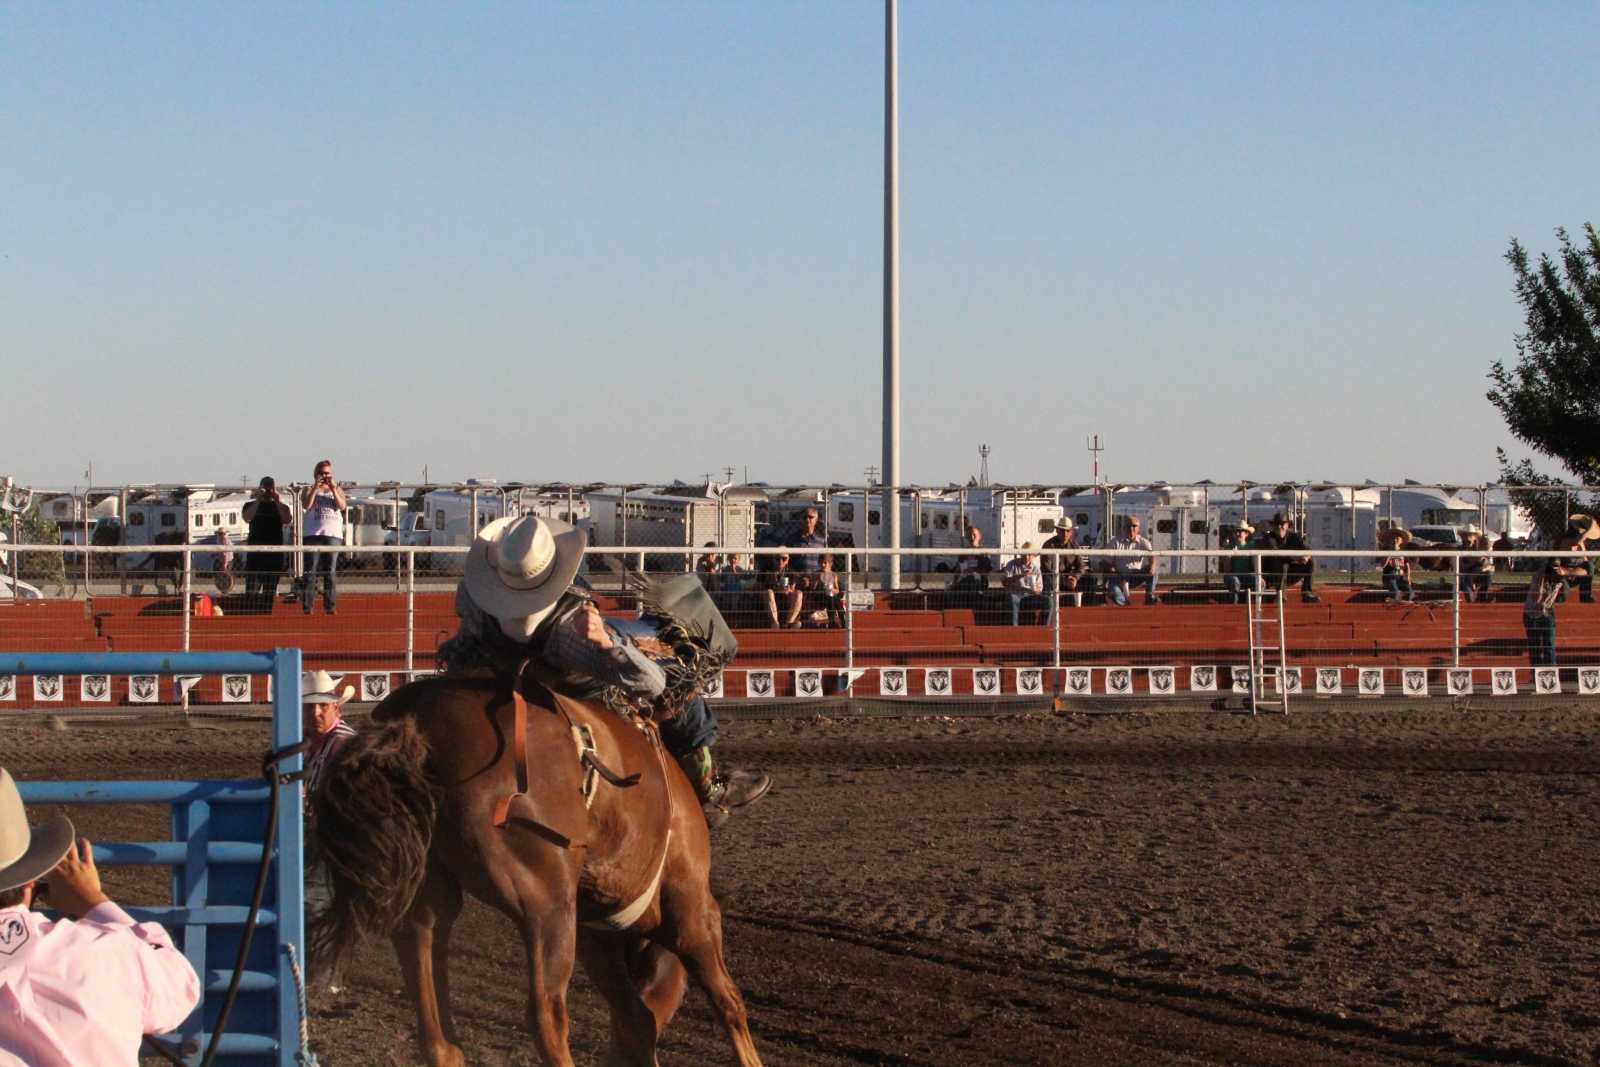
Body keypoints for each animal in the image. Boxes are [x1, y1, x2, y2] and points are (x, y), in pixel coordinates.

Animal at [310, 673, 764, 1067]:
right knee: (546, 1015)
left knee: (430, 1001)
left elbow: (637, 1021)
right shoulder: (691, 911)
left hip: (430, 893)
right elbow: (728, 1002)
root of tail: (415, 726)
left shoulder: (596, 937)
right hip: (546, 903)